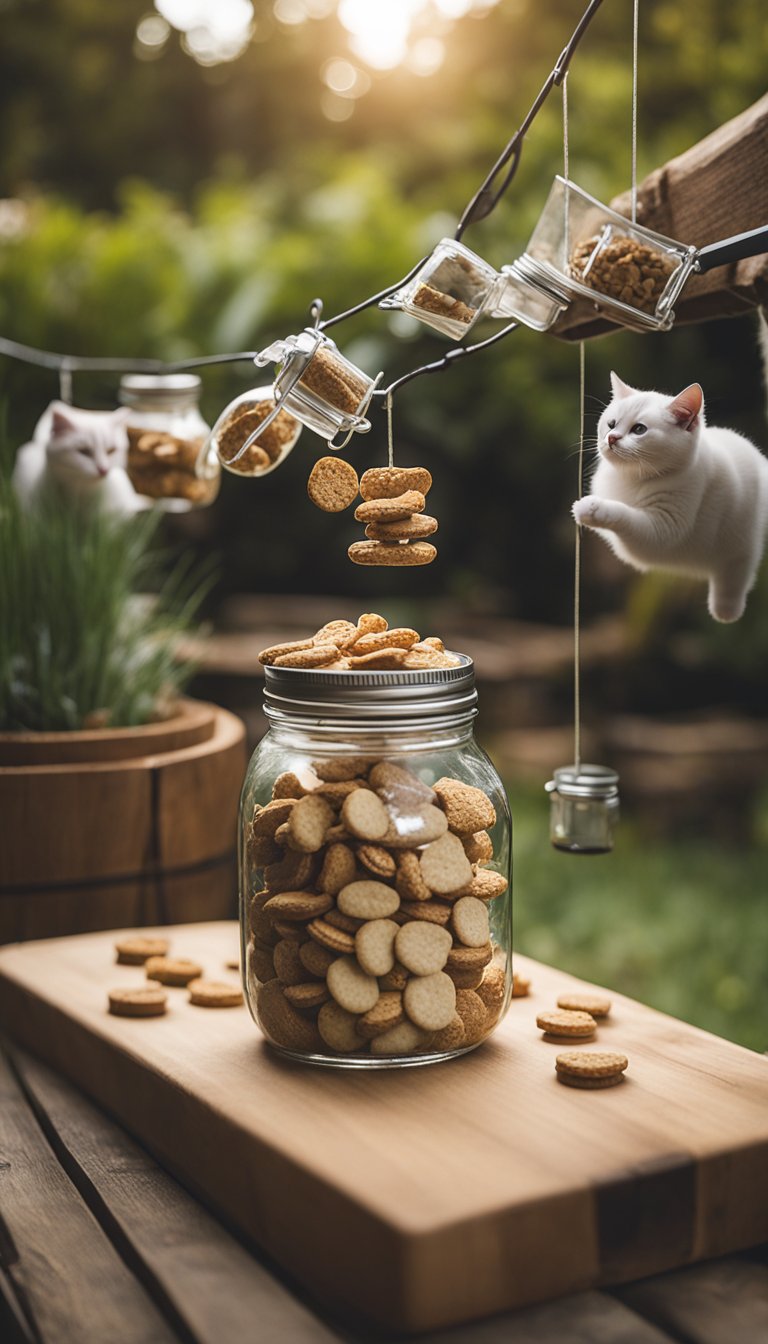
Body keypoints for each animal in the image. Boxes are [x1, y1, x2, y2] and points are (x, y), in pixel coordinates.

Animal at [572, 373, 768, 623]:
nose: (612, 438)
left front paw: (592, 508)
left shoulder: (663, 530)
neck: (632, 478)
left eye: (639, 429)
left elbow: (626, 515)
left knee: (737, 568)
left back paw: (725, 609)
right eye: (611, 424)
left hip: (741, 536)